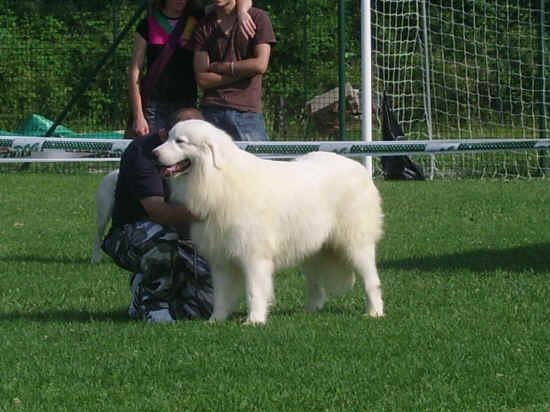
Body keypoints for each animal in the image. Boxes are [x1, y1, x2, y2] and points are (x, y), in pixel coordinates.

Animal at [153, 119, 386, 326]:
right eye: (168, 137)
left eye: (180, 141)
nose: (154, 153)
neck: (218, 180)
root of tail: (359, 168)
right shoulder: (221, 260)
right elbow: (221, 294)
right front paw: (215, 320)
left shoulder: (253, 255)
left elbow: (254, 291)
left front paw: (254, 321)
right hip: (312, 249)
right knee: (315, 284)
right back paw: (310, 311)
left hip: (355, 244)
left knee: (371, 281)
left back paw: (374, 312)